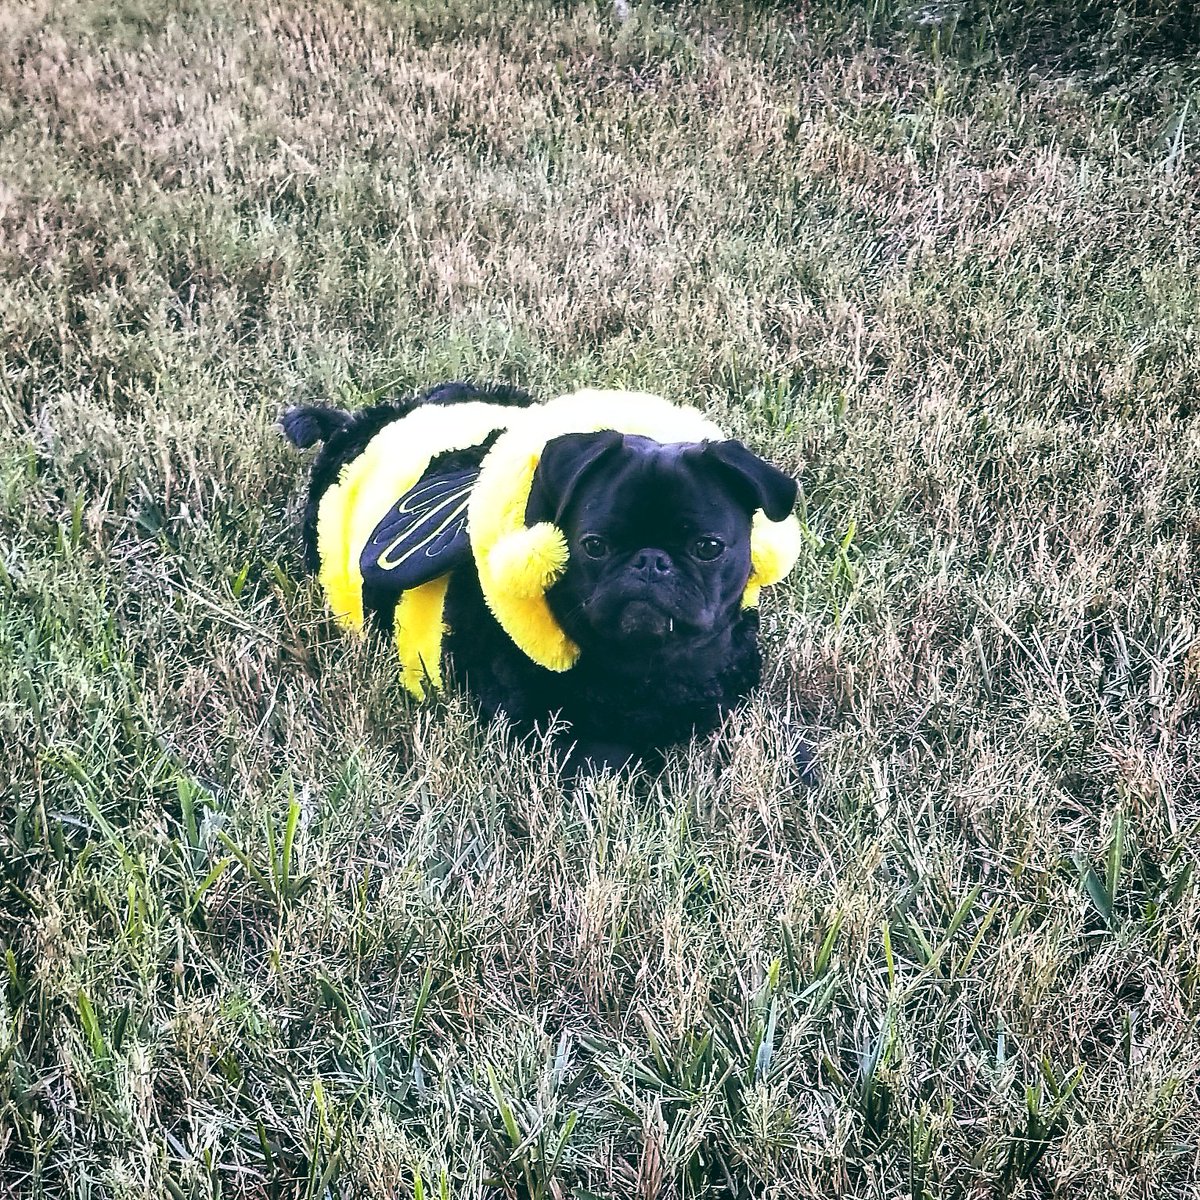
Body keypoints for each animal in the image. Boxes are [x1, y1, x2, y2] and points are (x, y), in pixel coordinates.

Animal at [282, 381, 811, 777]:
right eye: (594, 545)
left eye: (708, 548)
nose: (650, 561)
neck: (649, 667)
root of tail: (360, 425)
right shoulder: (543, 732)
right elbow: (608, 757)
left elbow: (774, 735)